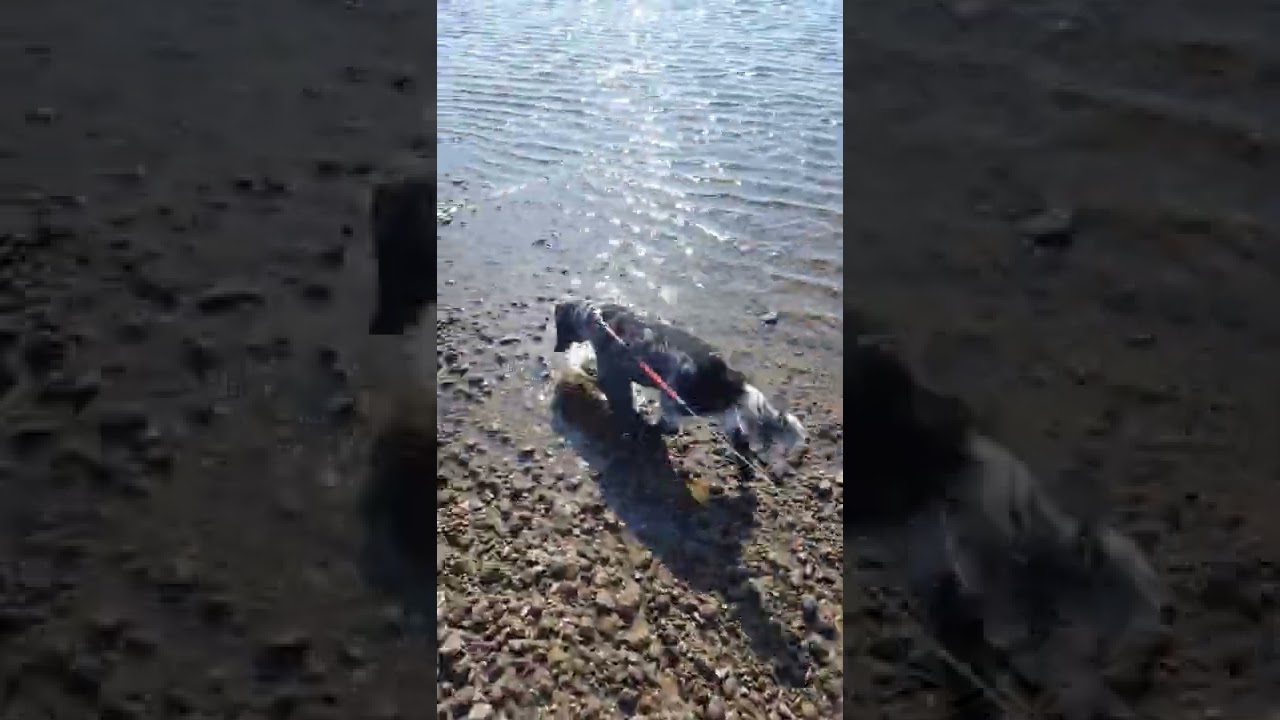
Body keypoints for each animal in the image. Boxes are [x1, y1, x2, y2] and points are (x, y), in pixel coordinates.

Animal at [547, 298, 798, 456]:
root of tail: (725, 375)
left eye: (559, 328)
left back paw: (653, 428)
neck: (597, 317)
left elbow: (612, 390)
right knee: (733, 418)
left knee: (674, 424)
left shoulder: (613, 376)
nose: (556, 350)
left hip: (674, 398)